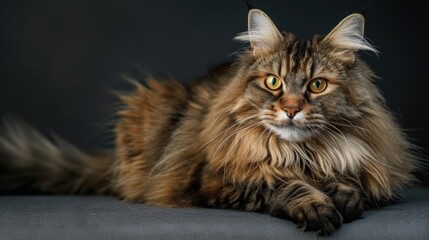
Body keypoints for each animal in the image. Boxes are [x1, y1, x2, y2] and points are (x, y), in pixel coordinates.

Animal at [0, 7, 418, 236]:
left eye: (317, 86)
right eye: (274, 82)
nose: (291, 109)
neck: (302, 155)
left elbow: (351, 179)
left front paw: (344, 196)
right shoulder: (216, 178)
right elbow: (280, 185)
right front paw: (316, 207)